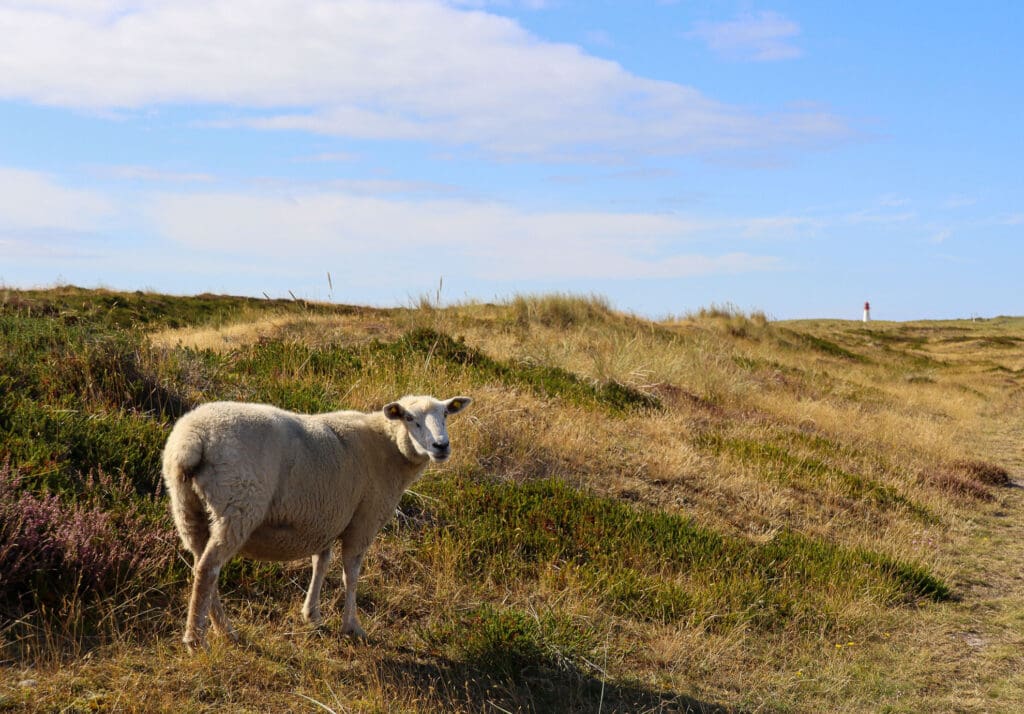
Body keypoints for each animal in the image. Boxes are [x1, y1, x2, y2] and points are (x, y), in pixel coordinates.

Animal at [161, 394, 472, 648]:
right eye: (409, 418)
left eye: (446, 414)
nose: (441, 446)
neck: (387, 447)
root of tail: (193, 439)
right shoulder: (364, 519)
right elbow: (351, 573)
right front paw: (352, 627)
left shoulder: (326, 518)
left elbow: (320, 562)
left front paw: (311, 614)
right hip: (238, 505)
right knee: (208, 569)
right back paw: (198, 640)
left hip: (187, 508)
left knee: (200, 565)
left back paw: (223, 630)